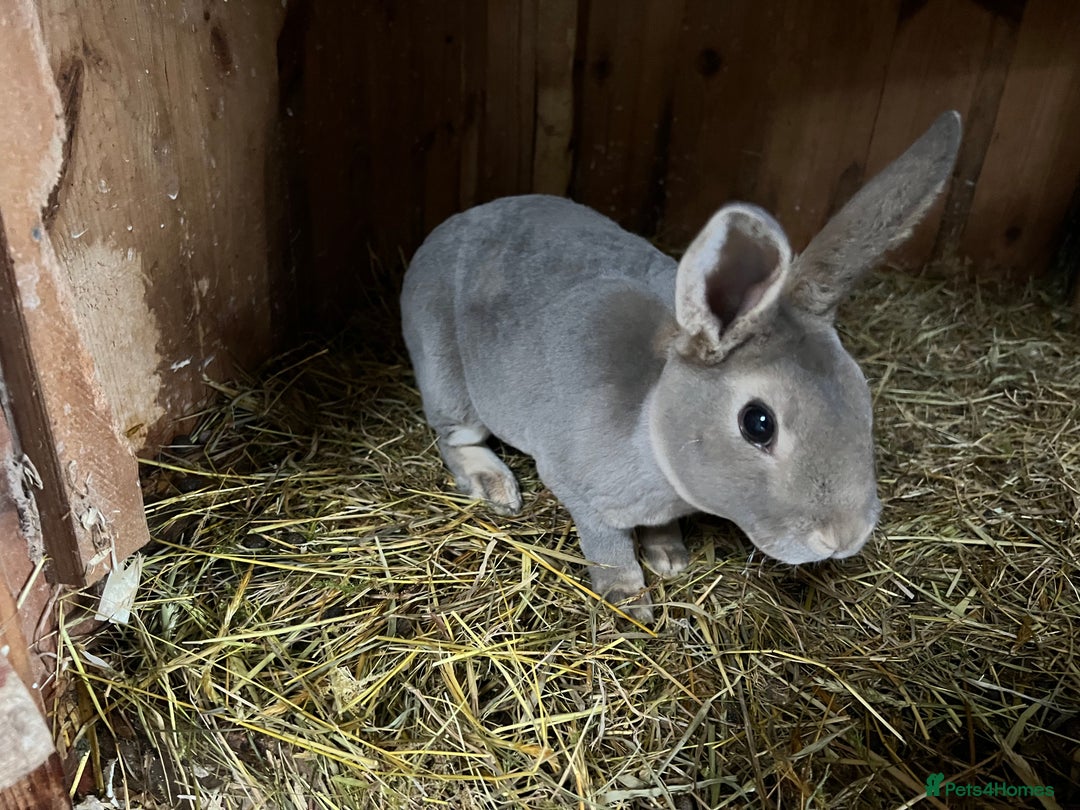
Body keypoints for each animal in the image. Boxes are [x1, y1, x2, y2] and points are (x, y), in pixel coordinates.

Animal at [401, 111, 961, 622]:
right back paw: (494, 486)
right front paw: (630, 604)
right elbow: (607, 549)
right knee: (454, 439)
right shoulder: (582, 494)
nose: (844, 536)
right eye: (758, 423)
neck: (652, 425)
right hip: (446, 379)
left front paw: (670, 557)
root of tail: (446, 229)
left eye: (862, 394)